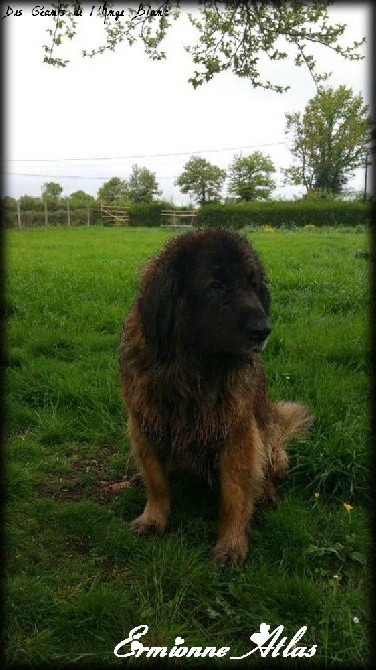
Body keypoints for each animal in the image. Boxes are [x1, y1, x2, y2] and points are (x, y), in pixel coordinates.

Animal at [118, 228, 312, 564]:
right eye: (216, 286)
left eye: (252, 284)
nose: (264, 330)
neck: (192, 371)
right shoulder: (143, 425)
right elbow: (156, 481)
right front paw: (153, 518)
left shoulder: (238, 434)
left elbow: (234, 496)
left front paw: (231, 544)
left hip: (270, 441)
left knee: (268, 472)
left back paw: (266, 493)